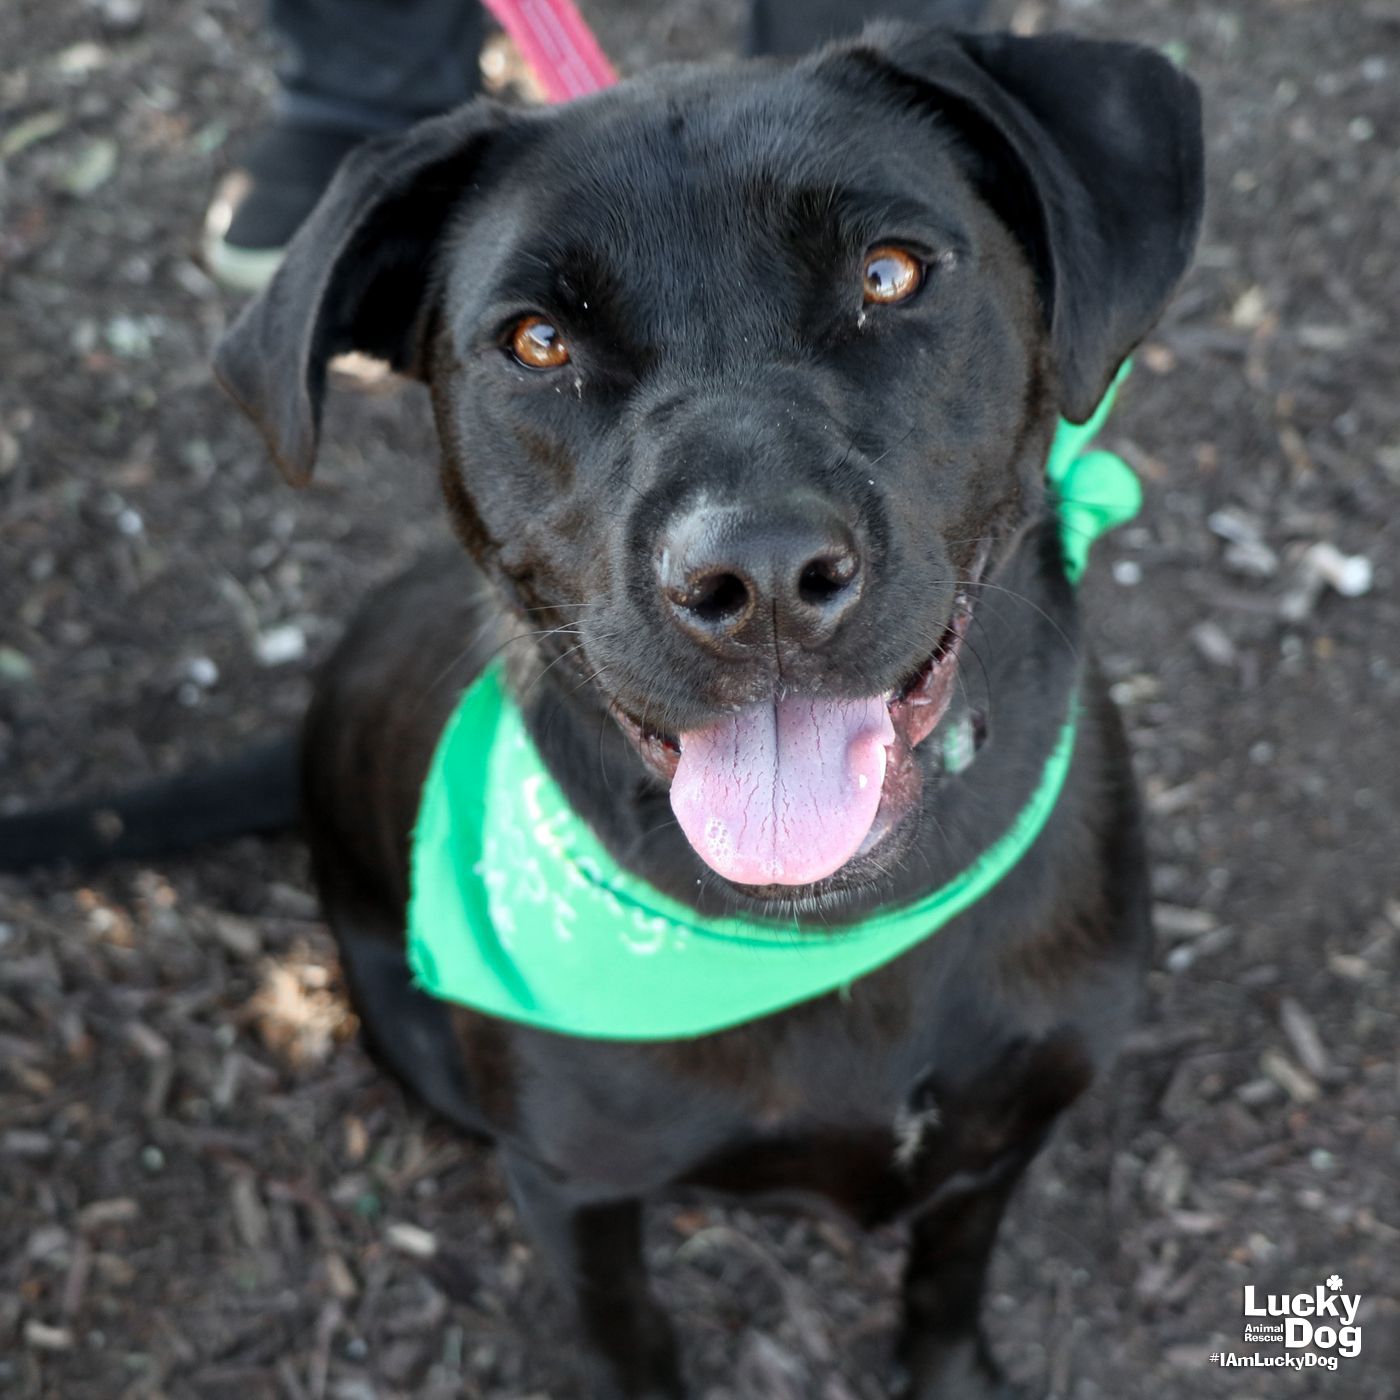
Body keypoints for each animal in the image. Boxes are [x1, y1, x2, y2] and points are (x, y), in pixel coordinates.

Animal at [2, 21, 1204, 1400]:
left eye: (889, 272)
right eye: (535, 342)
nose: (759, 577)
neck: (834, 929)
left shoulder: (998, 1138)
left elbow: (946, 1284)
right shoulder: (572, 1189)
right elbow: (630, 1331)